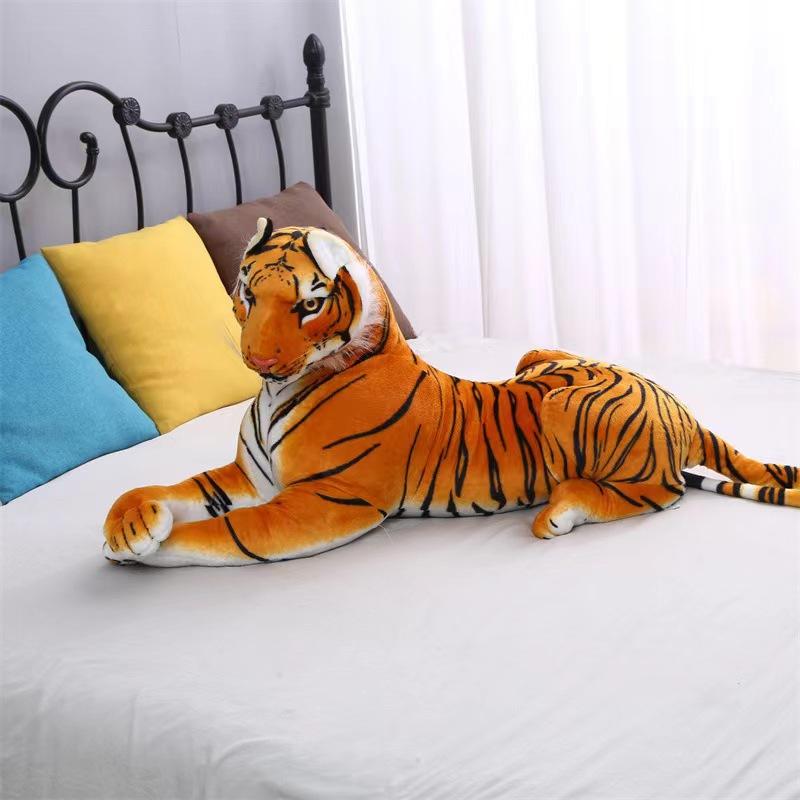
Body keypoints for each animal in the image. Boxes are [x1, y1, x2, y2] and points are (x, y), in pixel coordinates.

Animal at [102, 218, 799, 567]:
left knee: (660, 491)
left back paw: (558, 513)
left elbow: (224, 533)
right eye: (247, 293)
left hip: (571, 407)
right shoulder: (252, 475)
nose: (258, 358)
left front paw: (137, 550)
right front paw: (133, 522)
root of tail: (676, 402)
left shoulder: (328, 501)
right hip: (535, 359)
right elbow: (172, 487)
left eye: (308, 304)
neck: (280, 391)